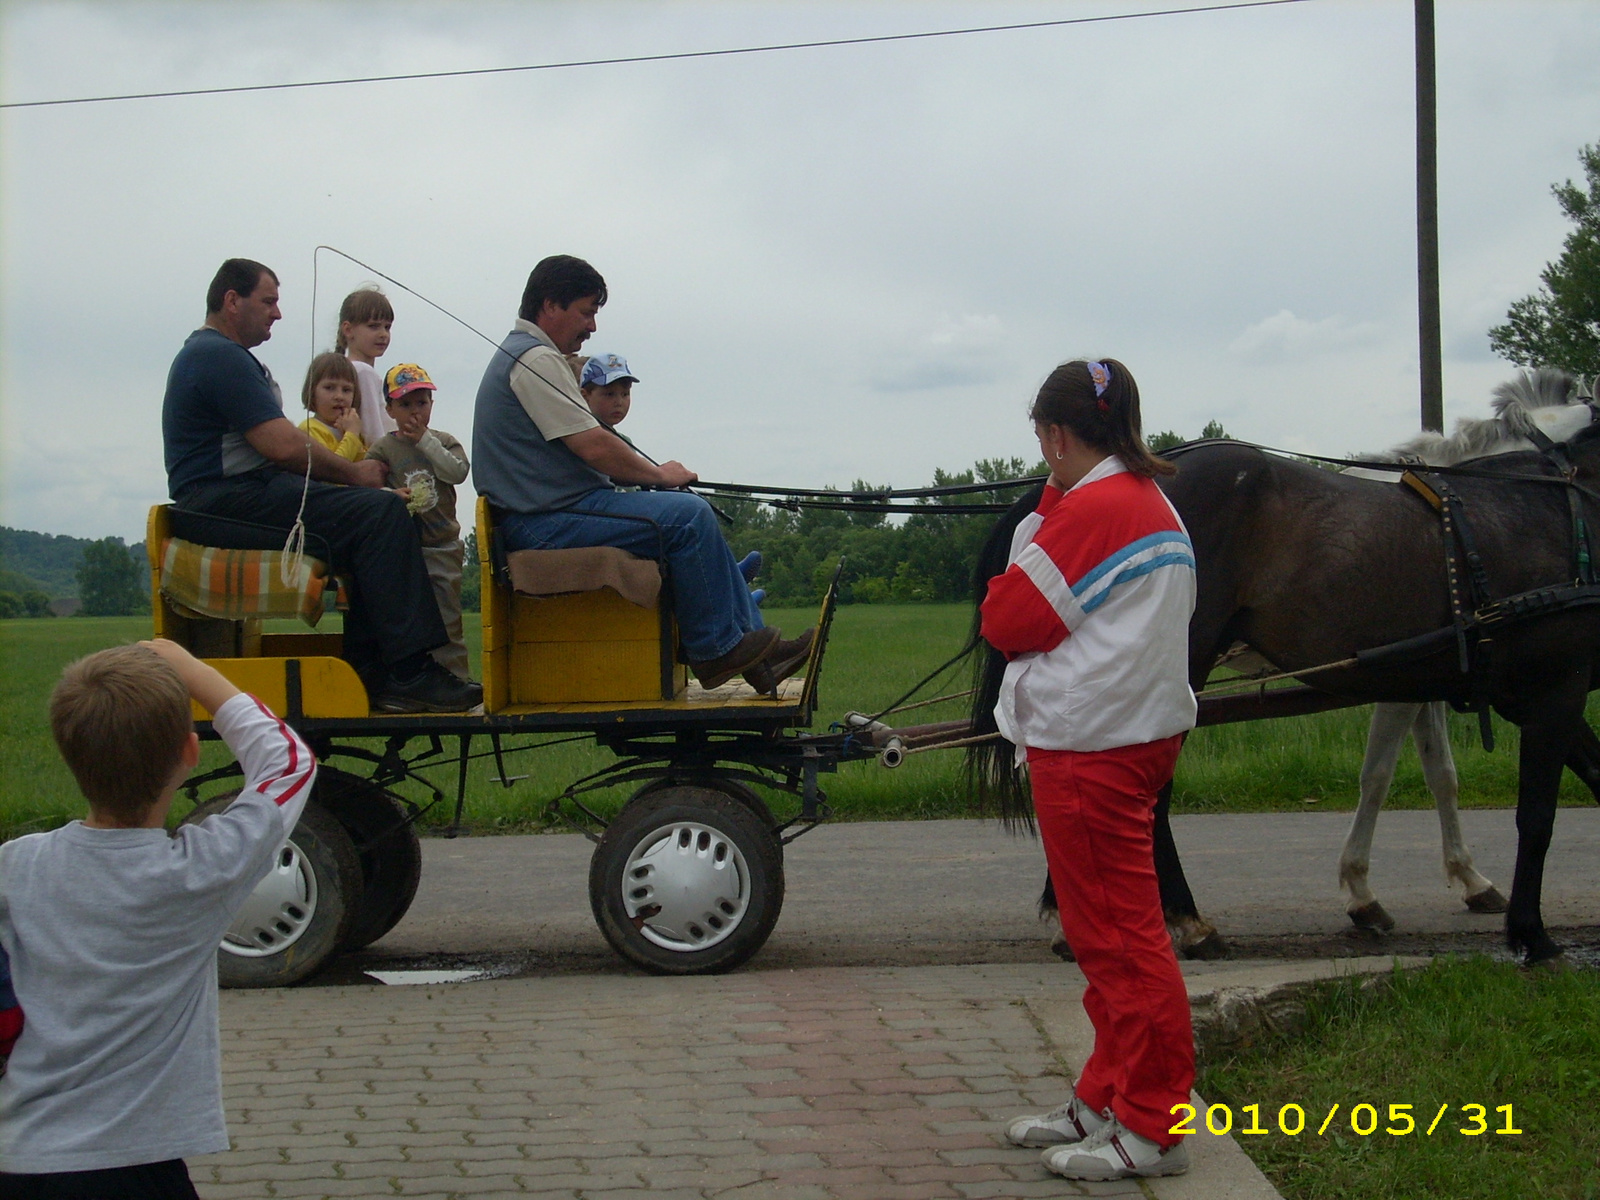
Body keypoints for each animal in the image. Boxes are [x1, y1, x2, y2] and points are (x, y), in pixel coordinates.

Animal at [1344, 366, 1593, 928]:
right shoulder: (1397, 683)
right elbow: (1377, 775)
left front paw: (1472, 879)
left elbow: (1442, 774)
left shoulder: (1429, 681)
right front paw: (1361, 892)